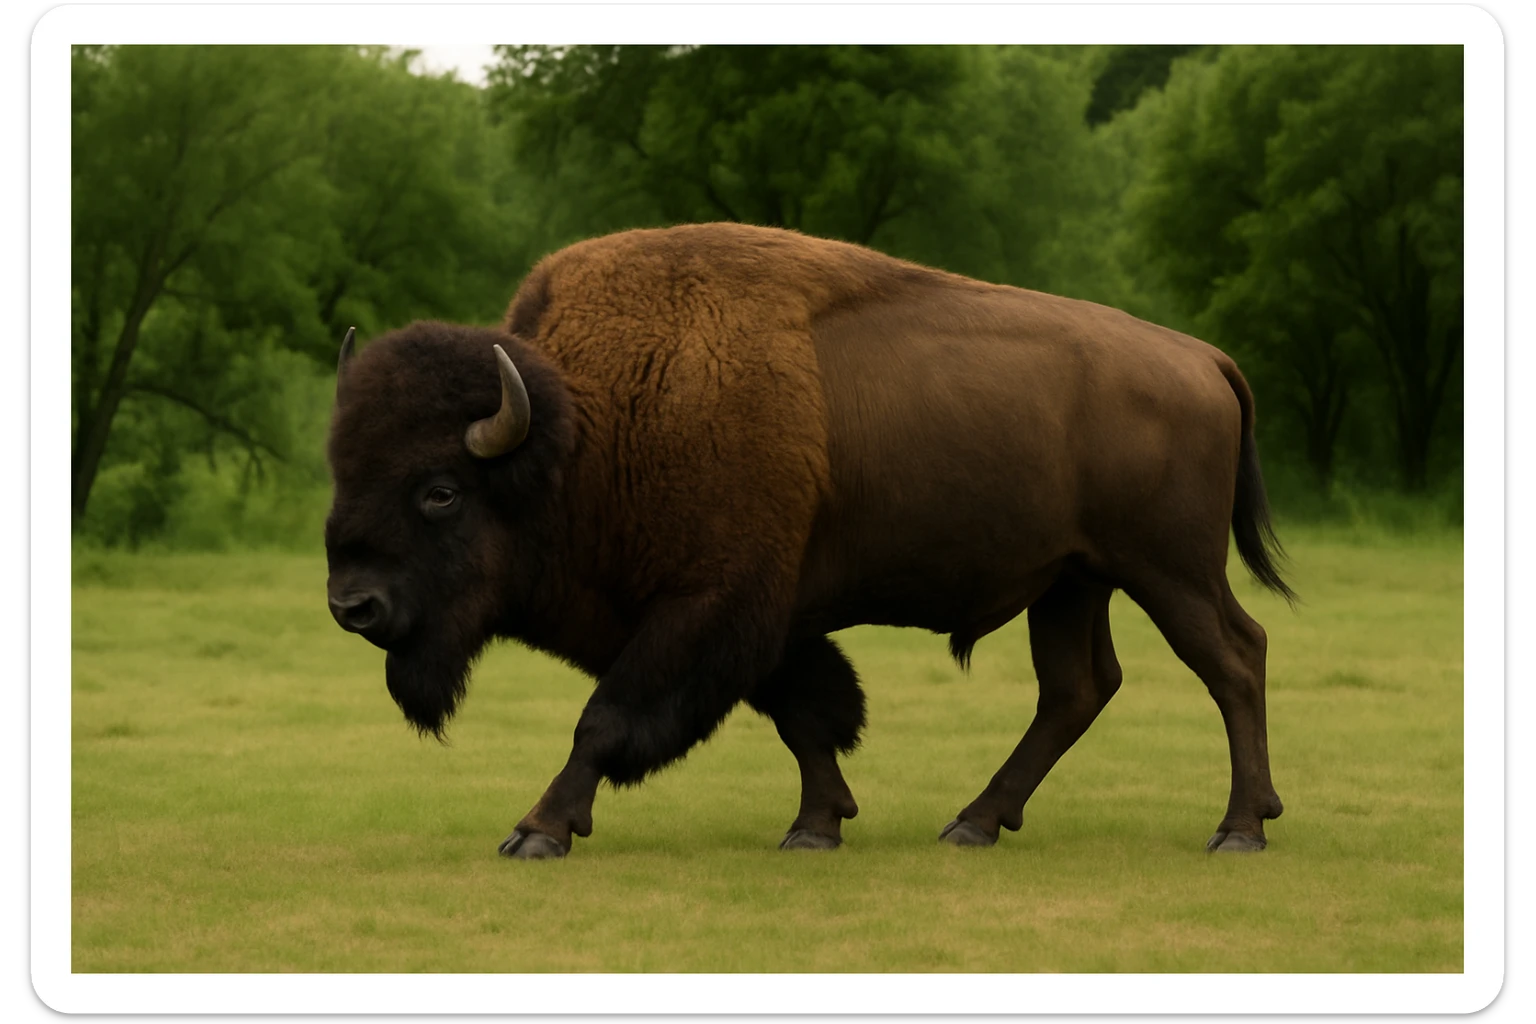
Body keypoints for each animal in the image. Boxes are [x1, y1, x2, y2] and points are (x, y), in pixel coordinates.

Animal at [325, 223, 1291, 859]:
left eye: (441, 492)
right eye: (341, 470)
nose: (352, 604)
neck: (583, 432)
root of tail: (1203, 357)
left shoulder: (707, 607)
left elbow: (607, 718)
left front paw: (537, 830)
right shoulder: (766, 618)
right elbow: (807, 713)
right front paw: (816, 826)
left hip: (1169, 571)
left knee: (1234, 659)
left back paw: (1240, 828)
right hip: (1073, 581)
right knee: (1077, 689)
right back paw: (972, 822)